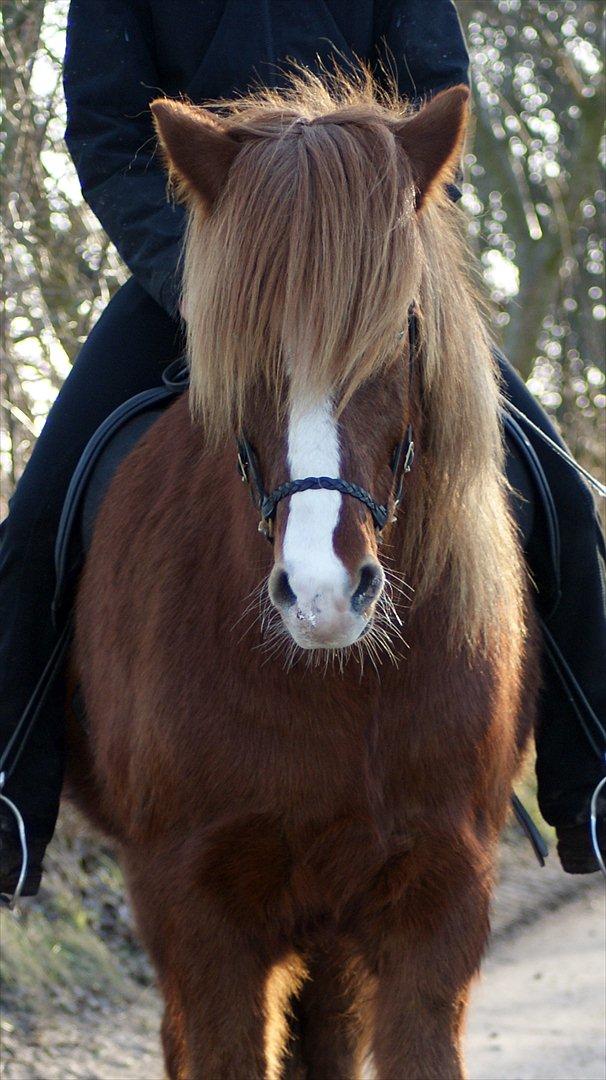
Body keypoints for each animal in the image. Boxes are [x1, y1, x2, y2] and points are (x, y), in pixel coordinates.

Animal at [67, 71, 537, 1075]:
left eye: (401, 329)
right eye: (240, 341)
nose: (323, 594)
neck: (331, 687)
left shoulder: (438, 898)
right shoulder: (199, 913)